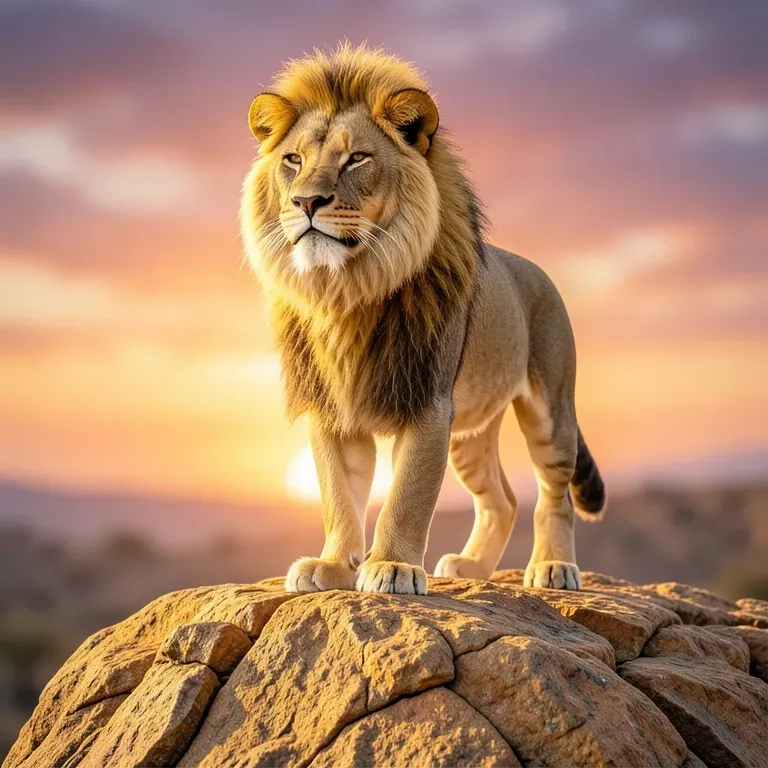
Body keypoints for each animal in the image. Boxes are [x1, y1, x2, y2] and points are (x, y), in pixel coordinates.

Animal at [241, 43, 606, 595]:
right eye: (293, 160)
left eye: (356, 158)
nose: (306, 201)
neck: (347, 290)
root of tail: (536, 268)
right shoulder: (332, 408)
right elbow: (338, 496)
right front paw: (331, 566)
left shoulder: (428, 402)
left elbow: (407, 496)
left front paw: (392, 568)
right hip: (471, 436)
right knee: (502, 500)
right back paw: (471, 567)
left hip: (551, 410)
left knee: (553, 493)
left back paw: (553, 568)